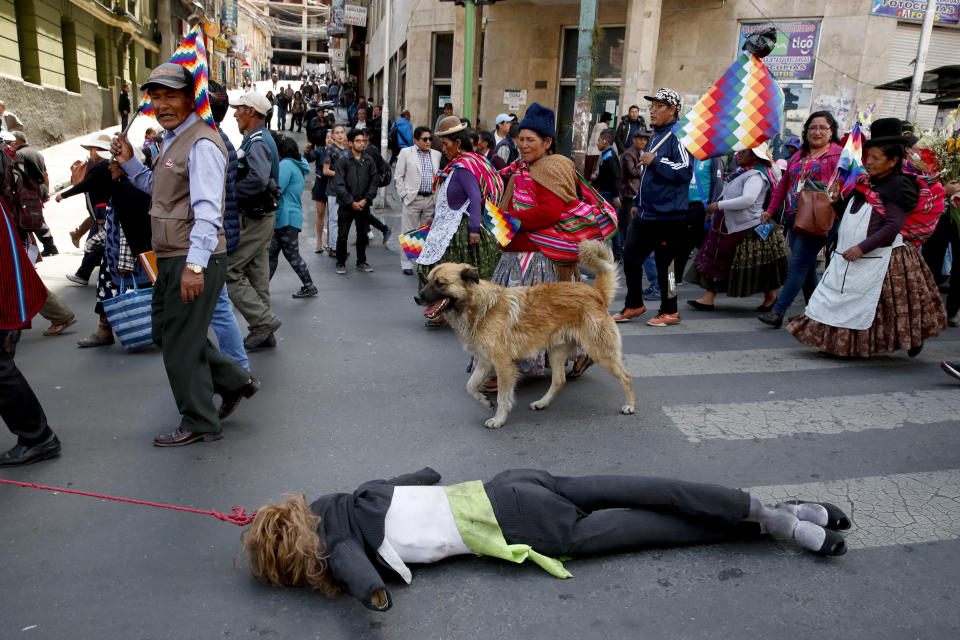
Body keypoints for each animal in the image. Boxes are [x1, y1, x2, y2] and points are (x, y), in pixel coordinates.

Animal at [414, 242, 632, 428]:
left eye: (440, 283)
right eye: (428, 281)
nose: (417, 298)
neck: (479, 307)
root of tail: (596, 293)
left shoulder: (503, 365)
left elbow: (503, 396)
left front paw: (499, 419)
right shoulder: (485, 361)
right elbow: (470, 386)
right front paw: (485, 402)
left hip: (600, 351)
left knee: (626, 376)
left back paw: (630, 405)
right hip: (556, 352)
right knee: (559, 380)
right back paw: (542, 403)